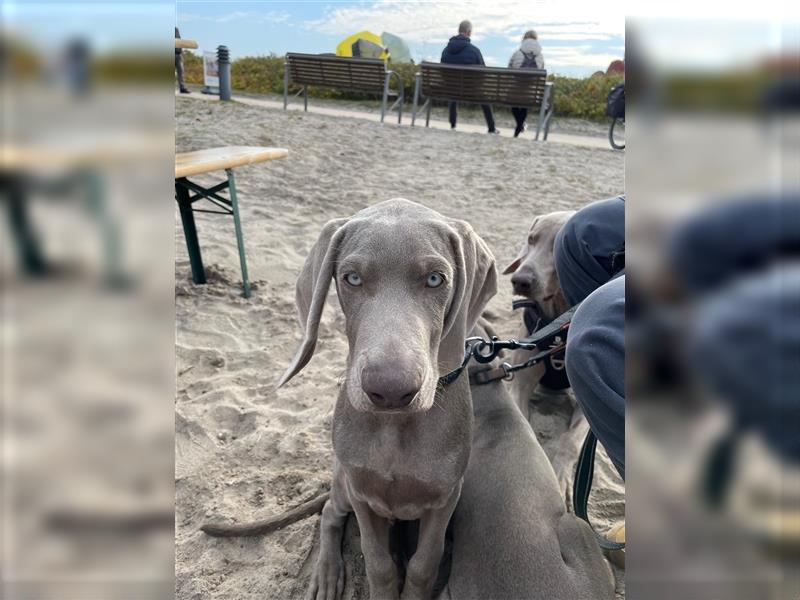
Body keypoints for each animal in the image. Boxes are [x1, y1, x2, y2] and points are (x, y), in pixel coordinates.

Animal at [278, 200, 496, 600]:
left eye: (435, 280)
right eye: (351, 278)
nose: (392, 390)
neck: (395, 431)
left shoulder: (445, 497)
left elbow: (423, 565)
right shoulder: (361, 493)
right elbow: (378, 564)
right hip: (343, 482)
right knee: (329, 512)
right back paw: (327, 573)